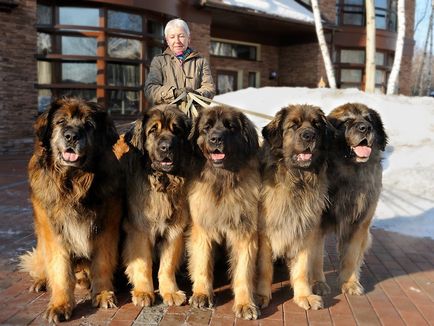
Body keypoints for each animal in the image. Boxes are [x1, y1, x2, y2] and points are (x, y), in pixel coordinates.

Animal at [20, 97, 122, 324]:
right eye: (60, 122)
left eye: (89, 125)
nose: (72, 136)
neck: (73, 183)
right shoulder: (54, 232)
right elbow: (60, 271)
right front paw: (60, 304)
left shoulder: (106, 228)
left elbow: (102, 263)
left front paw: (103, 293)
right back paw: (41, 281)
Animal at [113, 105, 192, 308]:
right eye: (152, 131)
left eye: (176, 130)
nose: (167, 147)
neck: (162, 182)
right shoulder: (139, 229)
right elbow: (143, 264)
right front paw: (143, 291)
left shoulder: (174, 230)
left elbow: (167, 265)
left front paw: (170, 291)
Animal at [187, 105, 262, 320]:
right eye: (207, 127)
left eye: (230, 127)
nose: (215, 139)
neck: (222, 181)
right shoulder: (203, 229)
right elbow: (203, 262)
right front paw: (202, 294)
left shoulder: (245, 232)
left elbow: (243, 271)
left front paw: (245, 304)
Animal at [256, 104, 330, 310]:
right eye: (293, 126)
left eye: (316, 125)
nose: (309, 135)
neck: (297, 180)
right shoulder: (264, 233)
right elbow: (264, 268)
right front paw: (260, 295)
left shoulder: (305, 229)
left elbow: (303, 268)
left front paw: (304, 295)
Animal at [312, 103, 386, 296]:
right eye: (346, 121)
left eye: (369, 119)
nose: (365, 128)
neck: (350, 172)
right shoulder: (316, 225)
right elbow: (315, 257)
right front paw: (318, 284)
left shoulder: (359, 224)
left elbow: (351, 256)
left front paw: (349, 283)